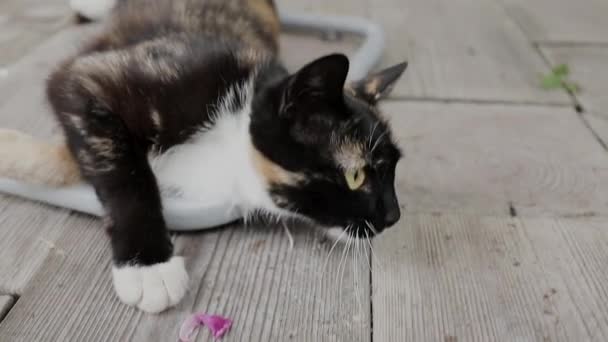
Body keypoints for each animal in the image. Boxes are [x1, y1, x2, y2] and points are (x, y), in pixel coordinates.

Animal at [0, 0, 408, 312]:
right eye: (356, 176)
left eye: (393, 171)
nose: (394, 216)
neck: (227, 143)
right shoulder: (86, 79)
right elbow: (124, 173)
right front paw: (149, 265)